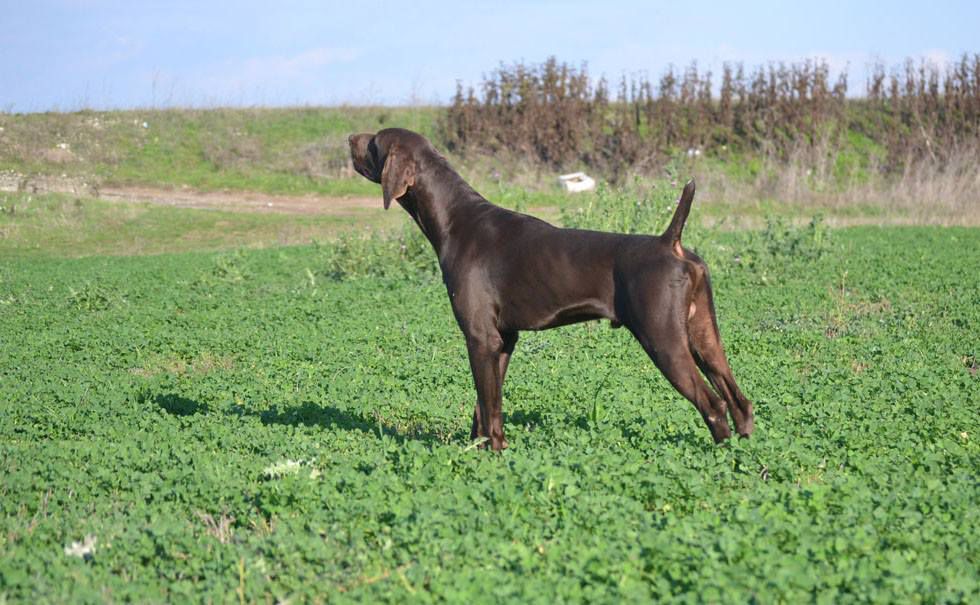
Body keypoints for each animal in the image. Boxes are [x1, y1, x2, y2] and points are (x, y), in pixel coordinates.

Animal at [348, 127, 756, 448]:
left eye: (375, 141)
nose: (349, 138)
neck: (455, 219)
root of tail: (670, 242)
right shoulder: (503, 341)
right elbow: (485, 408)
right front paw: (478, 451)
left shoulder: (480, 337)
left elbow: (489, 409)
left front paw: (492, 455)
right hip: (703, 337)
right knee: (740, 402)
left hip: (664, 341)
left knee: (714, 405)